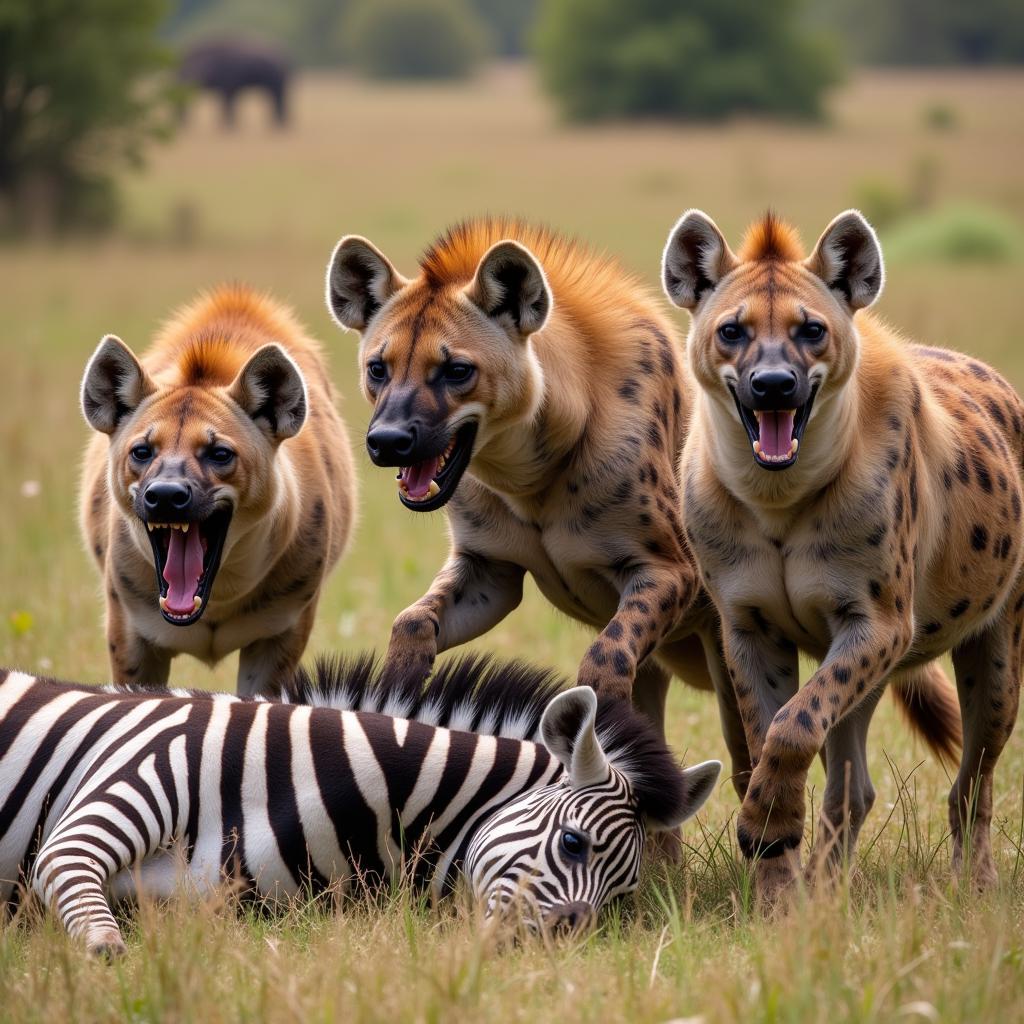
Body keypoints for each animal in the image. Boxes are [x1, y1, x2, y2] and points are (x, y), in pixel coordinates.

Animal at [0, 651, 720, 954]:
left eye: (624, 894)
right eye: (572, 843)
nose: (567, 952)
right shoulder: (139, 768)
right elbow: (70, 876)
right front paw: (108, 954)